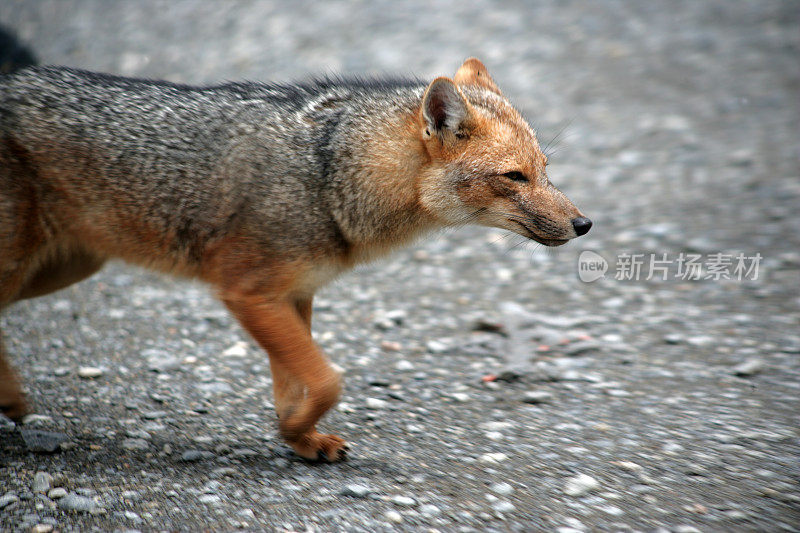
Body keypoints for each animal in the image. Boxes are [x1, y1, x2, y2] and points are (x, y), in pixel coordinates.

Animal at [0, 56, 588, 460]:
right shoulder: (248, 294)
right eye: (515, 176)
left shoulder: (294, 295)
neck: (327, 179)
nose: (585, 225)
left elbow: (296, 386)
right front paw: (292, 432)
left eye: (544, 169)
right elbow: (328, 381)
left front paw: (299, 439)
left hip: (64, 269)